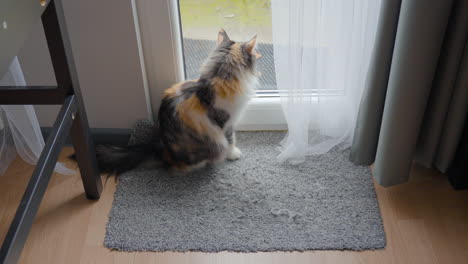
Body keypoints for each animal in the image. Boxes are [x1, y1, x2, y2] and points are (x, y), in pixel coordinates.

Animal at [93, 28, 262, 174]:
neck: (217, 77)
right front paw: (233, 154)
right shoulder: (226, 121)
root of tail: (161, 148)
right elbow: (231, 138)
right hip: (213, 143)